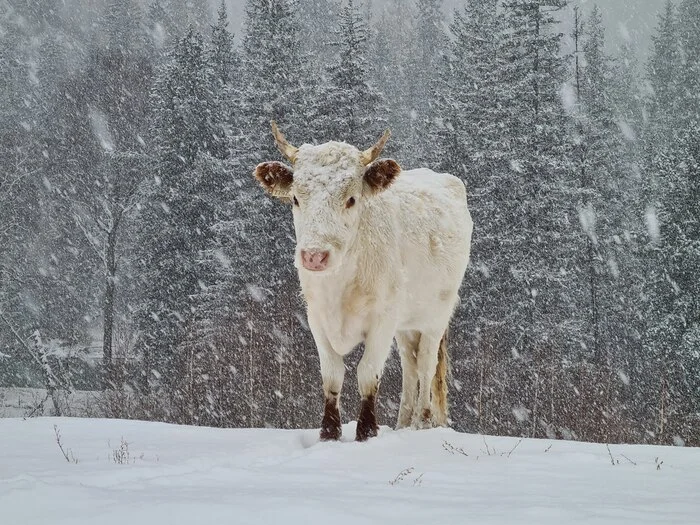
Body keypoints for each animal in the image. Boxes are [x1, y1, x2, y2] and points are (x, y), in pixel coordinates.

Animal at [254, 121, 474, 440]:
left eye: (351, 199)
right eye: (296, 198)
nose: (314, 256)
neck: (339, 286)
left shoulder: (382, 319)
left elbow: (368, 372)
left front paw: (366, 431)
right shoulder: (316, 318)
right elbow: (332, 374)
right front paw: (329, 432)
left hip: (435, 316)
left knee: (425, 364)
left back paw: (422, 422)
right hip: (406, 325)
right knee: (410, 366)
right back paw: (403, 424)